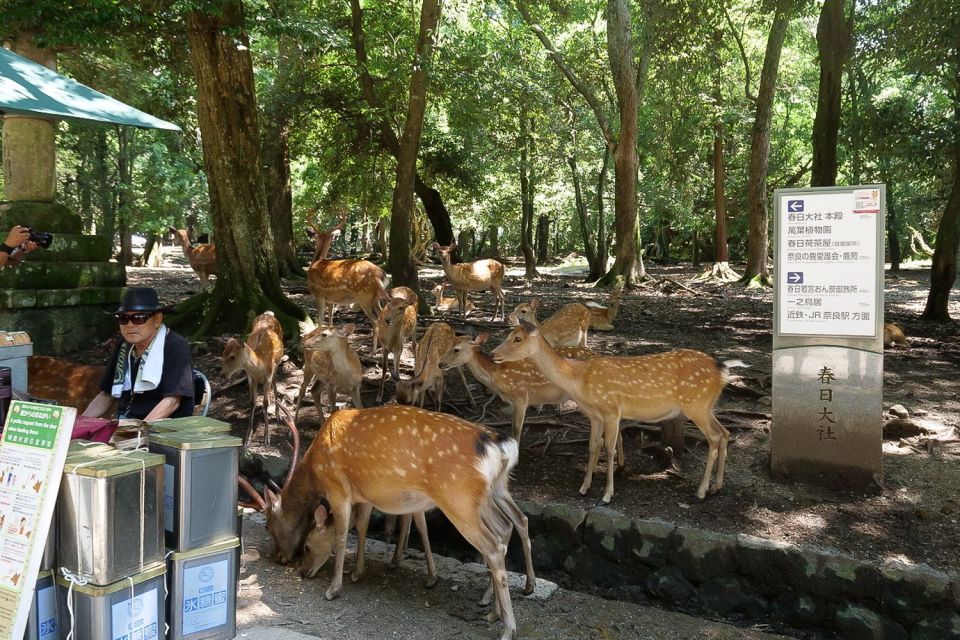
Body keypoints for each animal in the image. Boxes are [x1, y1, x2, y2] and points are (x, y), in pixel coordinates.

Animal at [221, 312, 284, 444]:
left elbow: (265, 402)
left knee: (275, 381)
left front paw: (267, 437)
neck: (260, 365)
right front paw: (247, 438)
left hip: (277, 363)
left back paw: (278, 414)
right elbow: (252, 402)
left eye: (232, 356)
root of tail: (268, 313)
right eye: (223, 354)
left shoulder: (268, 376)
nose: (222, 374)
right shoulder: (250, 378)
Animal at [260, 404, 532, 640]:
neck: (316, 470)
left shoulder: (338, 488)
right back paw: (494, 612)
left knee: (494, 545)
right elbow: (362, 527)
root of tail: (500, 446)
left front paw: (334, 588)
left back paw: (508, 628)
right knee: (507, 527)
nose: (293, 565)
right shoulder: (364, 495)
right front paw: (357, 572)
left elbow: (342, 535)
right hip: (491, 491)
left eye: (269, 525)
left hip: (459, 497)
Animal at [492, 320, 748, 504]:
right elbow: (593, 446)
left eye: (517, 338)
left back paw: (702, 490)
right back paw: (716, 486)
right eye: (508, 334)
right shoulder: (594, 415)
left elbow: (610, 448)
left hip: (696, 404)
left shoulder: (612, 410)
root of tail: (723, 370)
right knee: (725, 433)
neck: (579, 380)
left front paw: (607, 494)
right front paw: (584, 487)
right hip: (708, 405)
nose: (494, 353)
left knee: (714, 437)